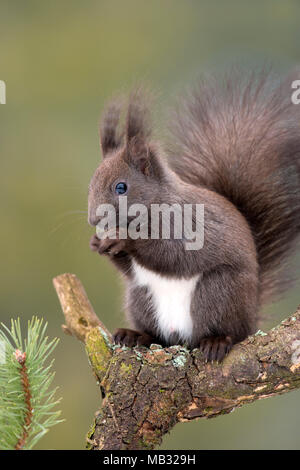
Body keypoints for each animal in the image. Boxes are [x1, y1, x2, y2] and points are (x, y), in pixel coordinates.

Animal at [86, 71, 300, 362]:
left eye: (121, 187)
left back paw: (217, 341)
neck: (156, 205)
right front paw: (98, 243)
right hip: (141, 298)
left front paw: (125, 239)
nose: (93, 220)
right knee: (159, 337)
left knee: (222, 331)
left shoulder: (189, 225)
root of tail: (251, 319)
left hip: (218, 291)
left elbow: (172, 254)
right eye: (91, 183)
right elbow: (128, 268)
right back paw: (136, 335)